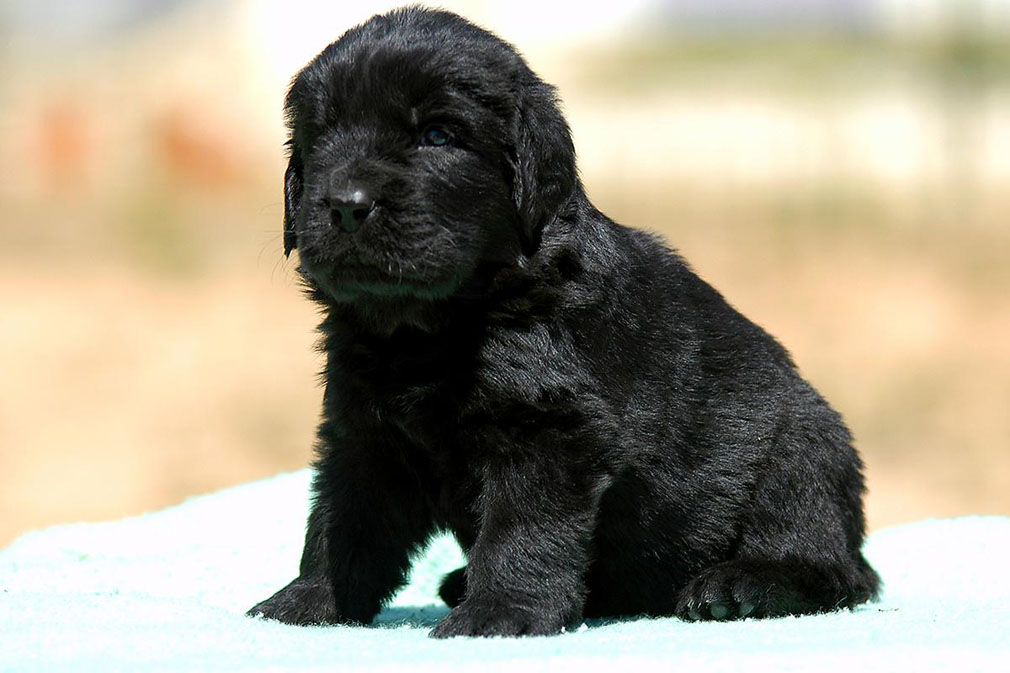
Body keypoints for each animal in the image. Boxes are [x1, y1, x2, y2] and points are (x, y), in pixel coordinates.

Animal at [248, 5, 880, 634]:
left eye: (437, 136)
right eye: (323, 137)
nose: (346, 204)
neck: (430, 327)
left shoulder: (549, 430)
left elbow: (522, 526)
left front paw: (499, 612)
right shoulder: (363, 435)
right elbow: (340, 524)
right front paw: (306, 602)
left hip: (803, 449)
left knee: (826, 561)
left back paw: (742, 586)